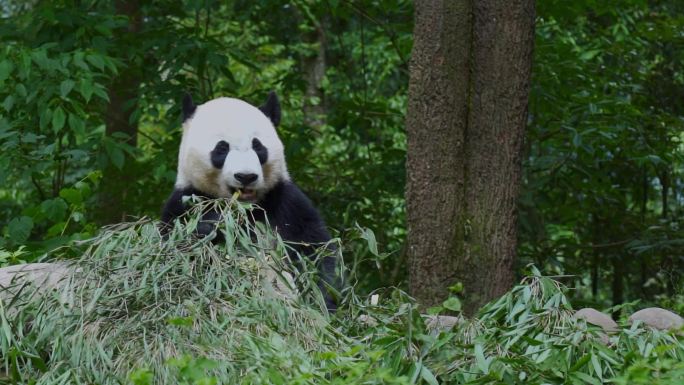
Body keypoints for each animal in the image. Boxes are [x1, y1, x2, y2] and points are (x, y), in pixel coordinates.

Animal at [163, 91, 340, 310]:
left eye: (258, 146)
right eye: (222, 148)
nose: (246, 176)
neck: (245, 208)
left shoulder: (284, 201)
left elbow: (314, 250)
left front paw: (321, 299)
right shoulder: (186, 201)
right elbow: (175, 258)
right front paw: (213, 226)